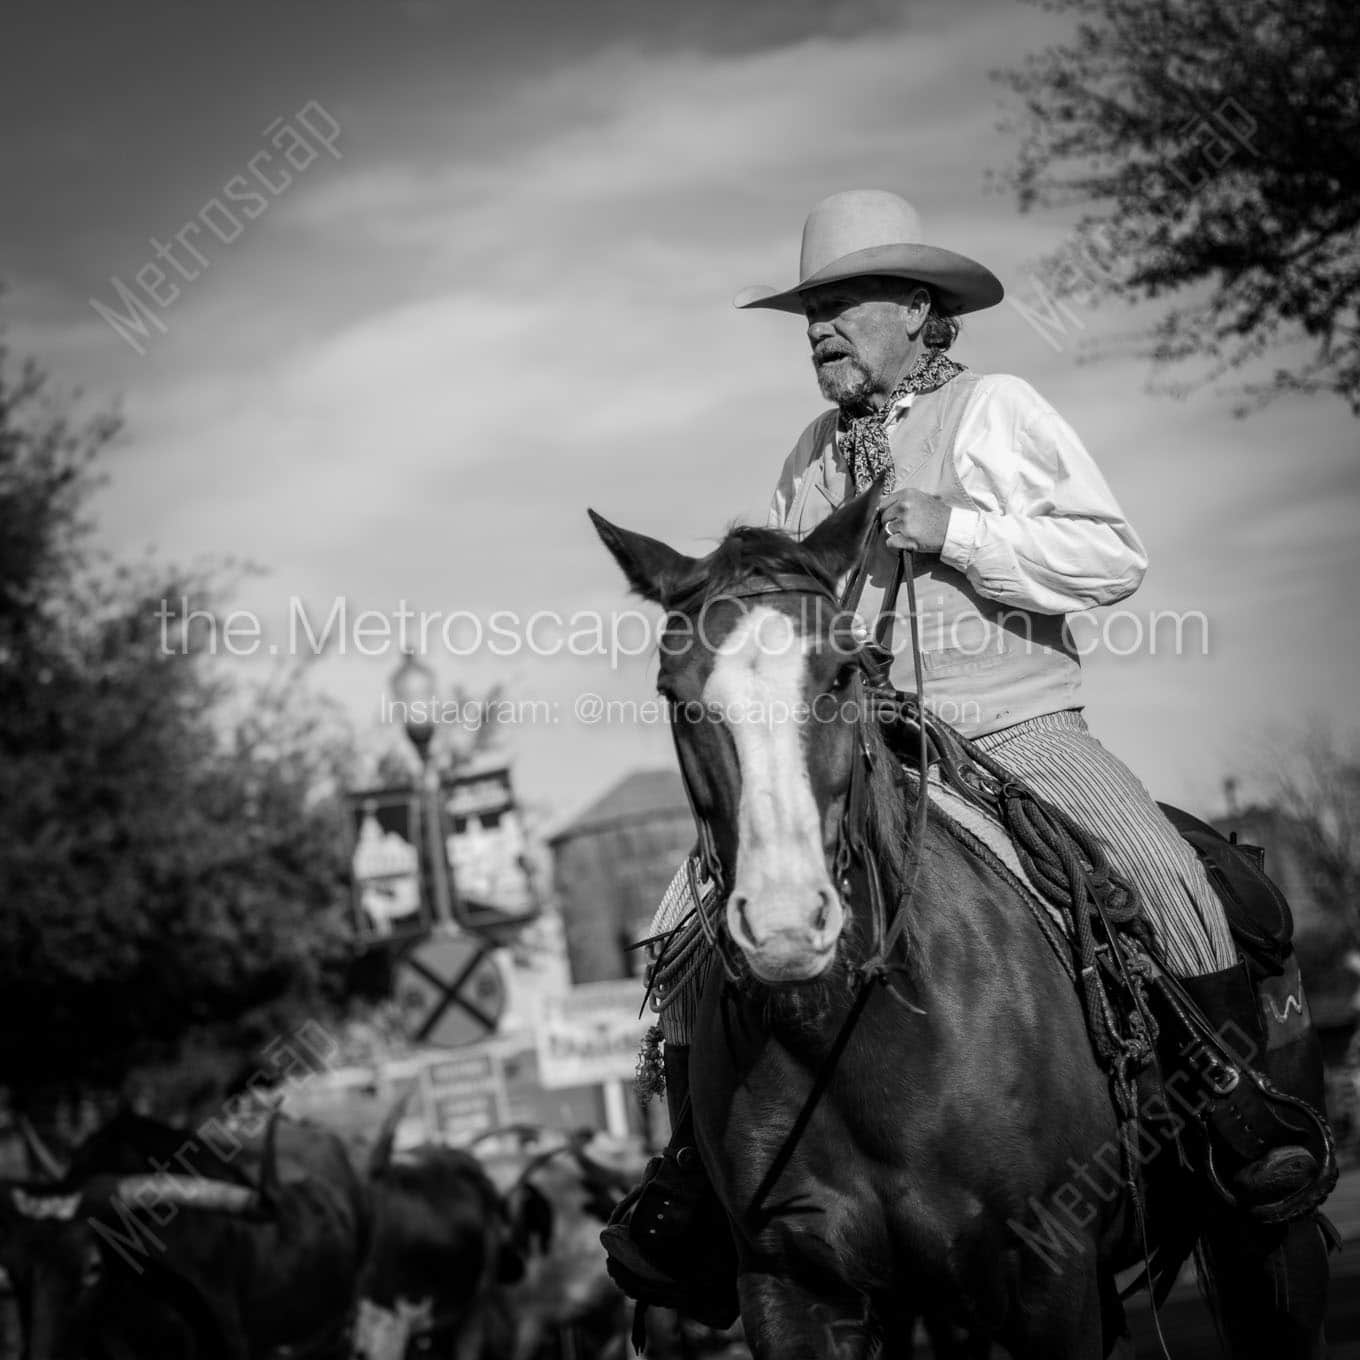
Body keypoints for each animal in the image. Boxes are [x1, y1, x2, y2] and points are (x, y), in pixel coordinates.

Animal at [587, 489, 1327, 1360]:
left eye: (842, 672)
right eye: (675, 692)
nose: (785, 926)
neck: (855, 1038)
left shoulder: (1050, 1281)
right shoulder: (793, 1288)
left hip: (1266, 1237)